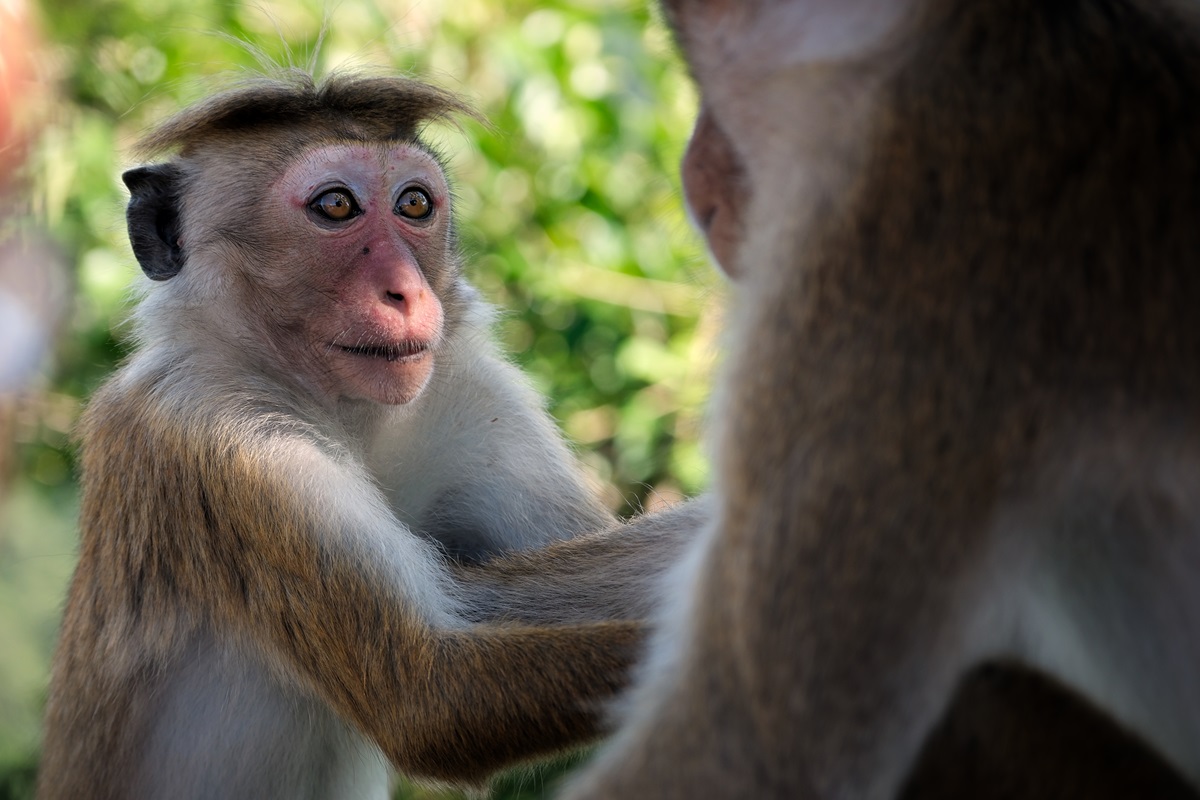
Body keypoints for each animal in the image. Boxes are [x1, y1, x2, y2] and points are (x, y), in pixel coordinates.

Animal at [37, 70, 706, 800]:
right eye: (335, 206)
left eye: (415, 204)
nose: (407, 292)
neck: (349, 413)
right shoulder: (225, 437)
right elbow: (429, 692)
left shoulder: (476, 399)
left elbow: (505, 594)